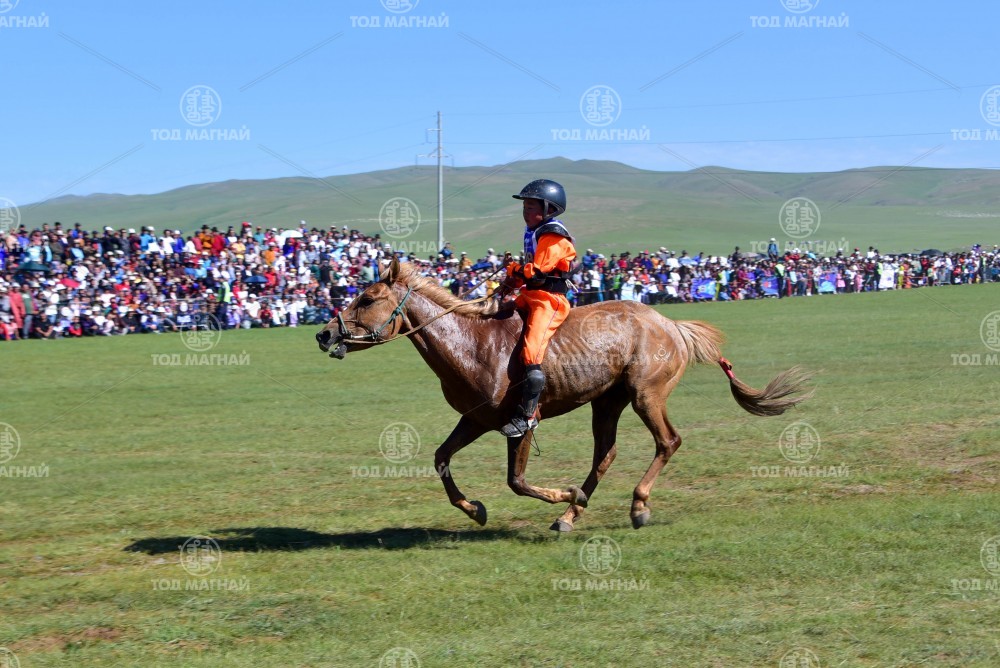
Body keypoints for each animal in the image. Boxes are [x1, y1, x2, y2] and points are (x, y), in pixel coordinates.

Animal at [316, 258, 811, 531]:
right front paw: (475, 509)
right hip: (606, 401)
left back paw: (635, 506)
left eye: (366, 299)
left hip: (646, 395)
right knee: (605, 455)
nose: (323, 334)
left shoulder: (520, 423)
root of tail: (671, 324)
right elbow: (441, 458)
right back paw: (572, 516)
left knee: (667, 442)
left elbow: (516, 481)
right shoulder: (477, 420)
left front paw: (563, 493)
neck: (473, 343)